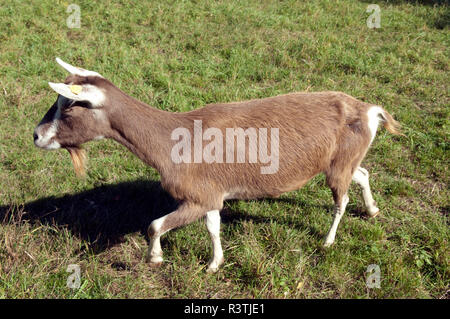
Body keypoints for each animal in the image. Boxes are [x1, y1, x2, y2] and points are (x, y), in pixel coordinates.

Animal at [35, 59, 400, 272]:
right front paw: (214, 264)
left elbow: (154, 225)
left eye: (69, 106)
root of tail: (369, 110)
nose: (37, 135)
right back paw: (373, 210)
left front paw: (155, 257)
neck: (172, 139)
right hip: (343, 161)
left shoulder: (197, 196)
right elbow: (213, 226)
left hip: (337, 167)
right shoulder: (211, 194)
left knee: (342, 200)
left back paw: (327, 241)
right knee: (362, 173)